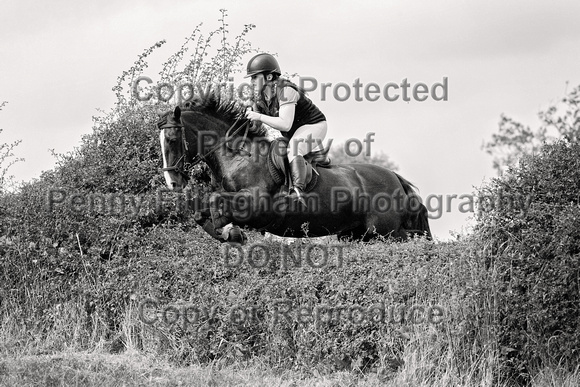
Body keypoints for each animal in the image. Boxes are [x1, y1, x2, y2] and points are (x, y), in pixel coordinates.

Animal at [159, 94, 430, 244]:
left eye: (171, 139)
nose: (172, 183)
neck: (239, 156)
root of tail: (396, 178)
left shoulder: (257, 205)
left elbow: (215, 201)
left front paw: (230, 232)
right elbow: (201, 212)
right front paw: (230, 235)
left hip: (387, 232)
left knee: (414, 239)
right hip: (360, 235)